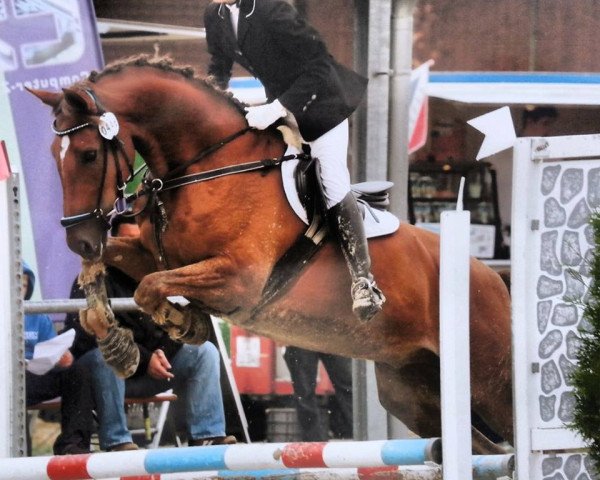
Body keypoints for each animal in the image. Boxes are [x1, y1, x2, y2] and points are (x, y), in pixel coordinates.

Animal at [30, 56, 512, 454]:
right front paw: (118, 345)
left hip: (489, 377)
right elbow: (113, 273)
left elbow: (149, 288)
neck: (206, 168)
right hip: (413, 392)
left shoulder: (238, 278)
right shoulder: (155, 255)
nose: (79, 239)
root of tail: (493, 279)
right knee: (480, 446)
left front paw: (185, 323)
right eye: (54, 156)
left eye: (88, 154)